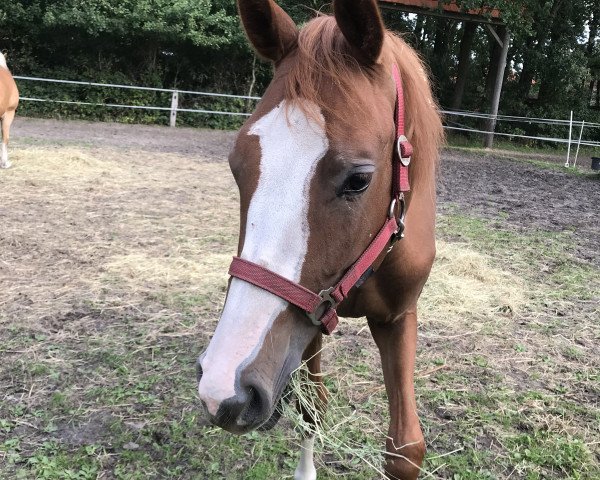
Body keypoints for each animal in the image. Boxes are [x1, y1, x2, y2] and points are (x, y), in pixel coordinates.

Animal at [199, 1, 442, 478]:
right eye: (237, 166)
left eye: (359, 179)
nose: (223, 387)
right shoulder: (307, 322)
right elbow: (312, 409)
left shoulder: (398, 316)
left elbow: (405, 449)